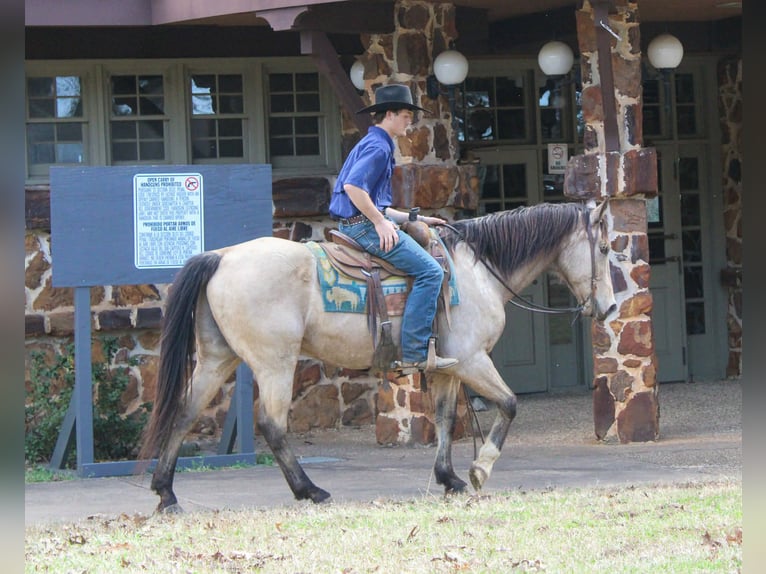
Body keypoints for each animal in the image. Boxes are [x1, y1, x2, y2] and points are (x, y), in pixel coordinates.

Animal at [139, 200, 617, 513]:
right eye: (606, 249)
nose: (611, 308)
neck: (476, 271)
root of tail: (220, 257)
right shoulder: (472, 360)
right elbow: (510, 404)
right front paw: (480, 469)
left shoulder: (447, 368)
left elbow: (445, 419)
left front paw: (449, 478)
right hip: (275, 363)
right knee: (272, 425)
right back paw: (311, 491)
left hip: (217, 359)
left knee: (183, 414)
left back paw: (166, 493)